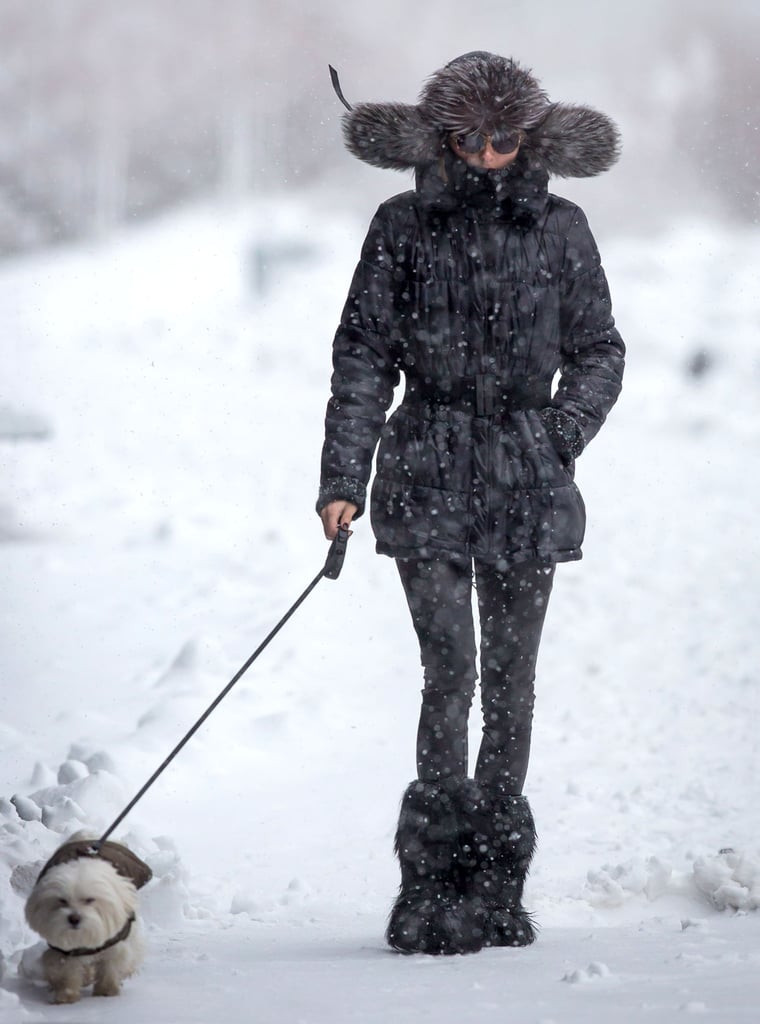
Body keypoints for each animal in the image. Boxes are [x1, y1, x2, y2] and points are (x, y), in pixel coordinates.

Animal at [24, 835, 151, 1003]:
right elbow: (65, 969)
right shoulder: (63, 950)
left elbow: (111, 964)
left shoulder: (116, 941)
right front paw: (66, 995)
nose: (74, 918)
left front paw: (106, 991)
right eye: (62, 901)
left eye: (90, 900)